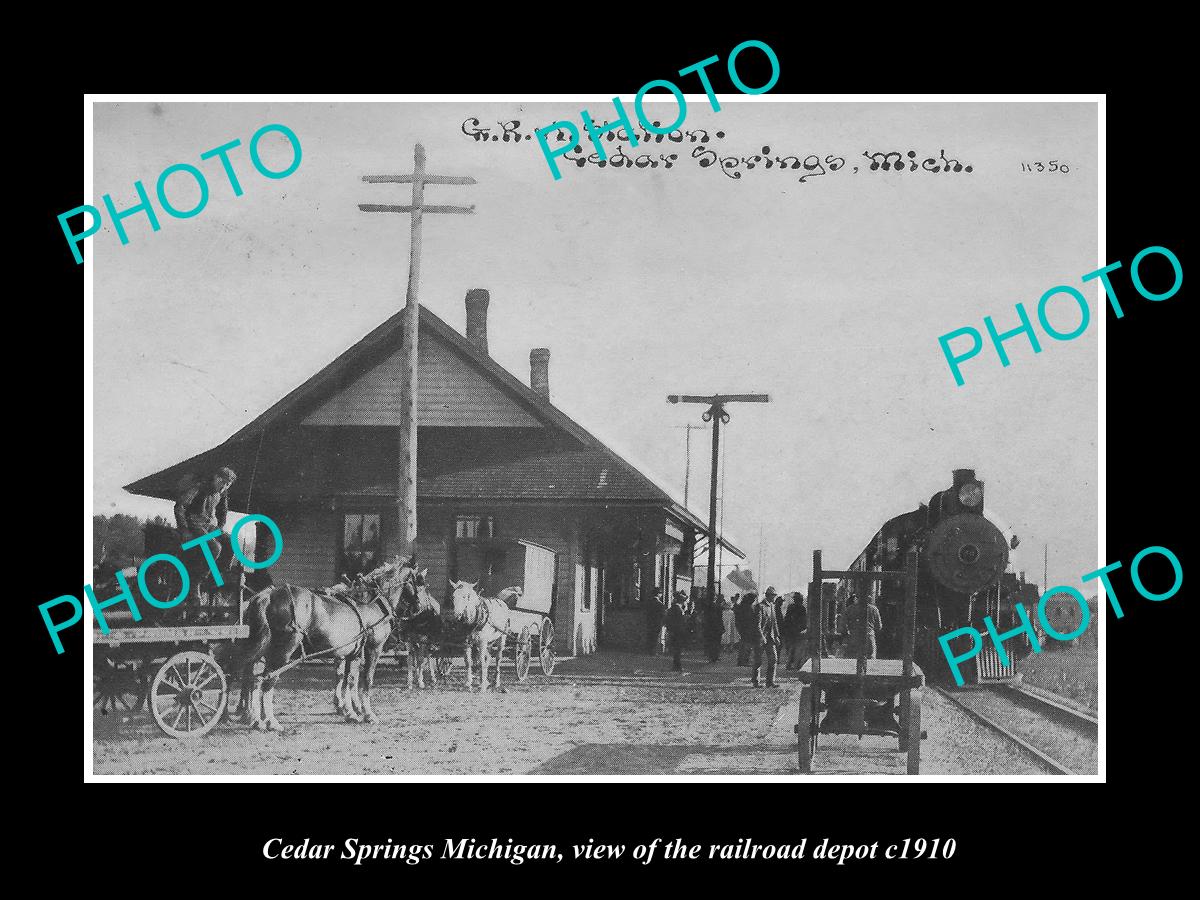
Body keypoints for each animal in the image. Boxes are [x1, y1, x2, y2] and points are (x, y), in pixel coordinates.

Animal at [235, 556, 427, 734]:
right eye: (420, 581)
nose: (422, 607)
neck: (372, 604)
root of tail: (267, 596)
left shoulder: (352, 653)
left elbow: (348, 680)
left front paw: (350, 712)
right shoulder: (373, 649)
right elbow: (365, 680)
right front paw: (368, 714)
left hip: (263, 653)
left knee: (254, 679)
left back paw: (255, 719)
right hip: (283, 652)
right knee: (268, 680)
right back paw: (270, 721)